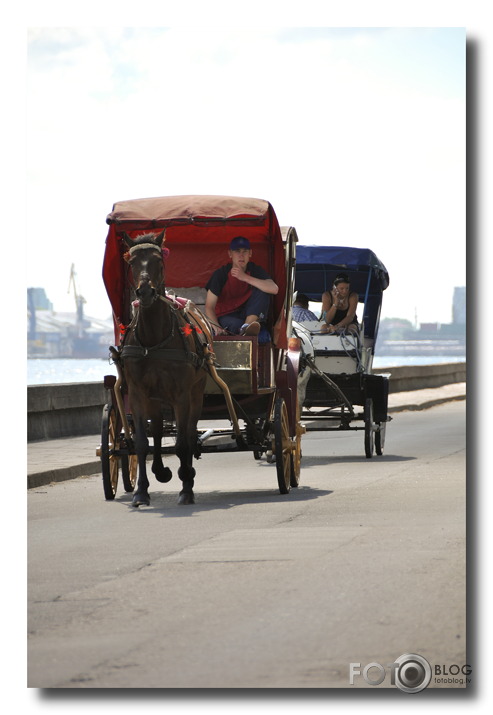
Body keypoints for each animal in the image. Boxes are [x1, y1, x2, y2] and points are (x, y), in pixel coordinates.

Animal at [120, 232, 207, 506]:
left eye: (158, 260)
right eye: (131, 262)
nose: (145, 292)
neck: (153, 341)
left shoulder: (181, 394)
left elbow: (182, 443)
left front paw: (186, 487)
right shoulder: (138, 393)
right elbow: (141, 443)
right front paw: (140, 492)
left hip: (195, 393)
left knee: (189, 432)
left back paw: (186, 473)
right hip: (155, 398)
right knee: (157, 430)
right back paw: (161, 470)